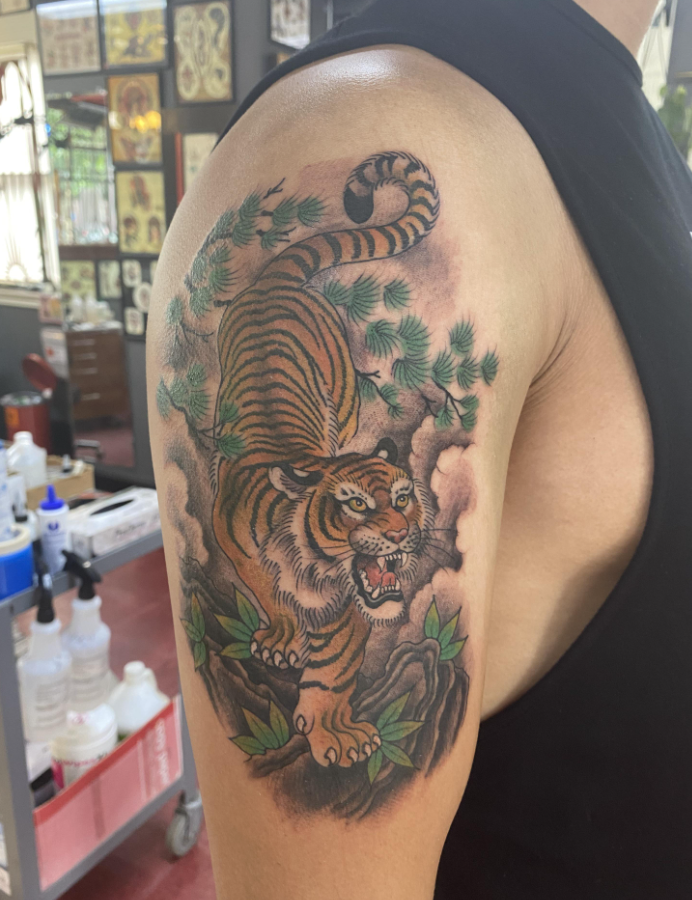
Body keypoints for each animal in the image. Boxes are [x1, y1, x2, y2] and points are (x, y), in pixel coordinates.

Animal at [212, 151, 440, 767]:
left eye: (404, 497)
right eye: (356, 504)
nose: (402, 534)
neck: (317, 567)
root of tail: (274, 282)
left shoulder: (353, 609)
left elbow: (335, 670)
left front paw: (335, 733)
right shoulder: (231, 537)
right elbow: (271, 595)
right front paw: (284, 640)